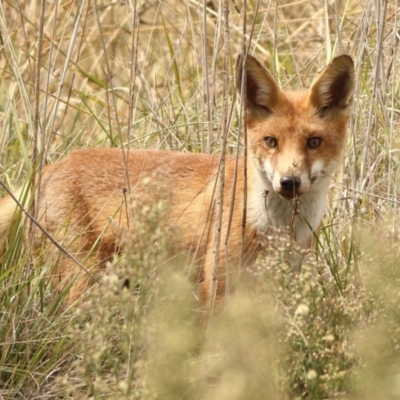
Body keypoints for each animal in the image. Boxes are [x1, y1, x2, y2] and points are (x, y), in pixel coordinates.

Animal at [0, 53, 356, 306]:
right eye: (271, 141)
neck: (276, 229)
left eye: (314, 142)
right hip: (81, 277)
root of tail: (49, 168)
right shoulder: (217, 284)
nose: (289, 182)